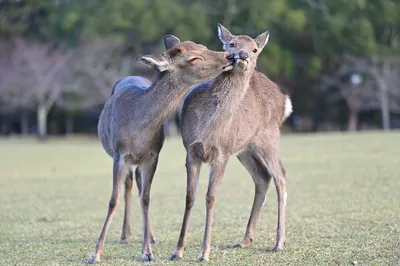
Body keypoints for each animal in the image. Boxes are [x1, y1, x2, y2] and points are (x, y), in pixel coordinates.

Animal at [86, 35, 233, 264]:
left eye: (203, 46)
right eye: (194, 58)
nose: (230, 56)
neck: (137, 130)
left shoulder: (153, 156)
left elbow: (146, 198)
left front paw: (147, 252)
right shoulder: (119, 154)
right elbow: (113, 201)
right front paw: (95, 254)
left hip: (140, 161)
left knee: (137, 185)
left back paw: (150, 237)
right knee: (128, 184)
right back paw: (124, 235)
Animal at [170, 24, 294, 262]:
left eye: (255, 49)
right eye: (231, 44)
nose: (242, 55)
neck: (209, 127)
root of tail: (285, 101)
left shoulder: (221, 154)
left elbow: (211, 197)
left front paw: (204, 253)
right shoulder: (191, 151)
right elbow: (190, 197)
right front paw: (177, 251)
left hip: (269, 137)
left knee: (280, 176)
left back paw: (279, 243)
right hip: (244, 149)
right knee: (262, 177)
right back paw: (245, 239)